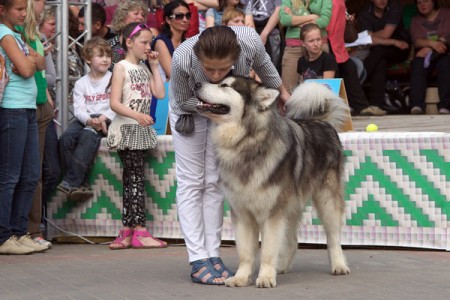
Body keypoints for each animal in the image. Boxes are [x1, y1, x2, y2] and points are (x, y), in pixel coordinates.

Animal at [195, 76, 350, 288]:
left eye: (224, 85)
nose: (196, 84)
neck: (247, 141)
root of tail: (321, 122)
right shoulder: (242, 213)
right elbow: (245, 252)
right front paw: (241, 277)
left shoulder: (272, 213)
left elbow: (268, 250)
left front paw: (266, 277)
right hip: (291, 205)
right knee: (292, 239)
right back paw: (281, 266)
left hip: (327, 201)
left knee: (333, 237)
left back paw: (339, 265)